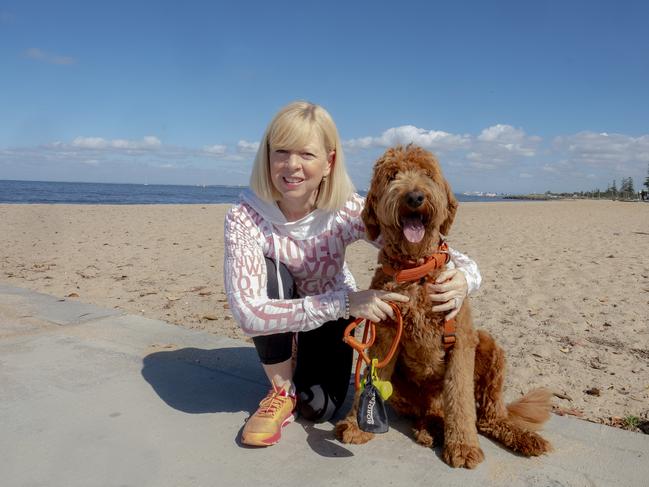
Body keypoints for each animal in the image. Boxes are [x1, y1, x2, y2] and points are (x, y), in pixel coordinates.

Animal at [334, 144, 552, 468]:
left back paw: (521, 436)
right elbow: (368, 382)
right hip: (405, 389)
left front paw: (462, 447)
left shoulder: (461, 341)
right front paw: (354, 426)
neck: (417, 270)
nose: (414, 197)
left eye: (428, 174)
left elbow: (460, 401)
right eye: (392, 175)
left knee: (486, 417)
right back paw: (431, 429)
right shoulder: (384, 335)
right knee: (431, 412)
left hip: (487, 345)